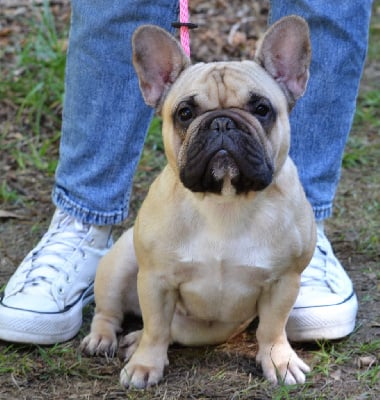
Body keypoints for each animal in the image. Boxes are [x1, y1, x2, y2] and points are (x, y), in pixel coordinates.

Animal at [81, 14, 316, 388]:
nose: (221, 122)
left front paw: (279, 361)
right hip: (118, 264)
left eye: (262, 109)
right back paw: (104, 338)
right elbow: (155, 326)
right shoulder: (156, 280)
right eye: (185, 113)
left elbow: (272, 328)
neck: (224, 202)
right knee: (112, 312)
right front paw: (145, 365)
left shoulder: (284, 281)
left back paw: (132, 341)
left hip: (206, 329)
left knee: (173, 330)